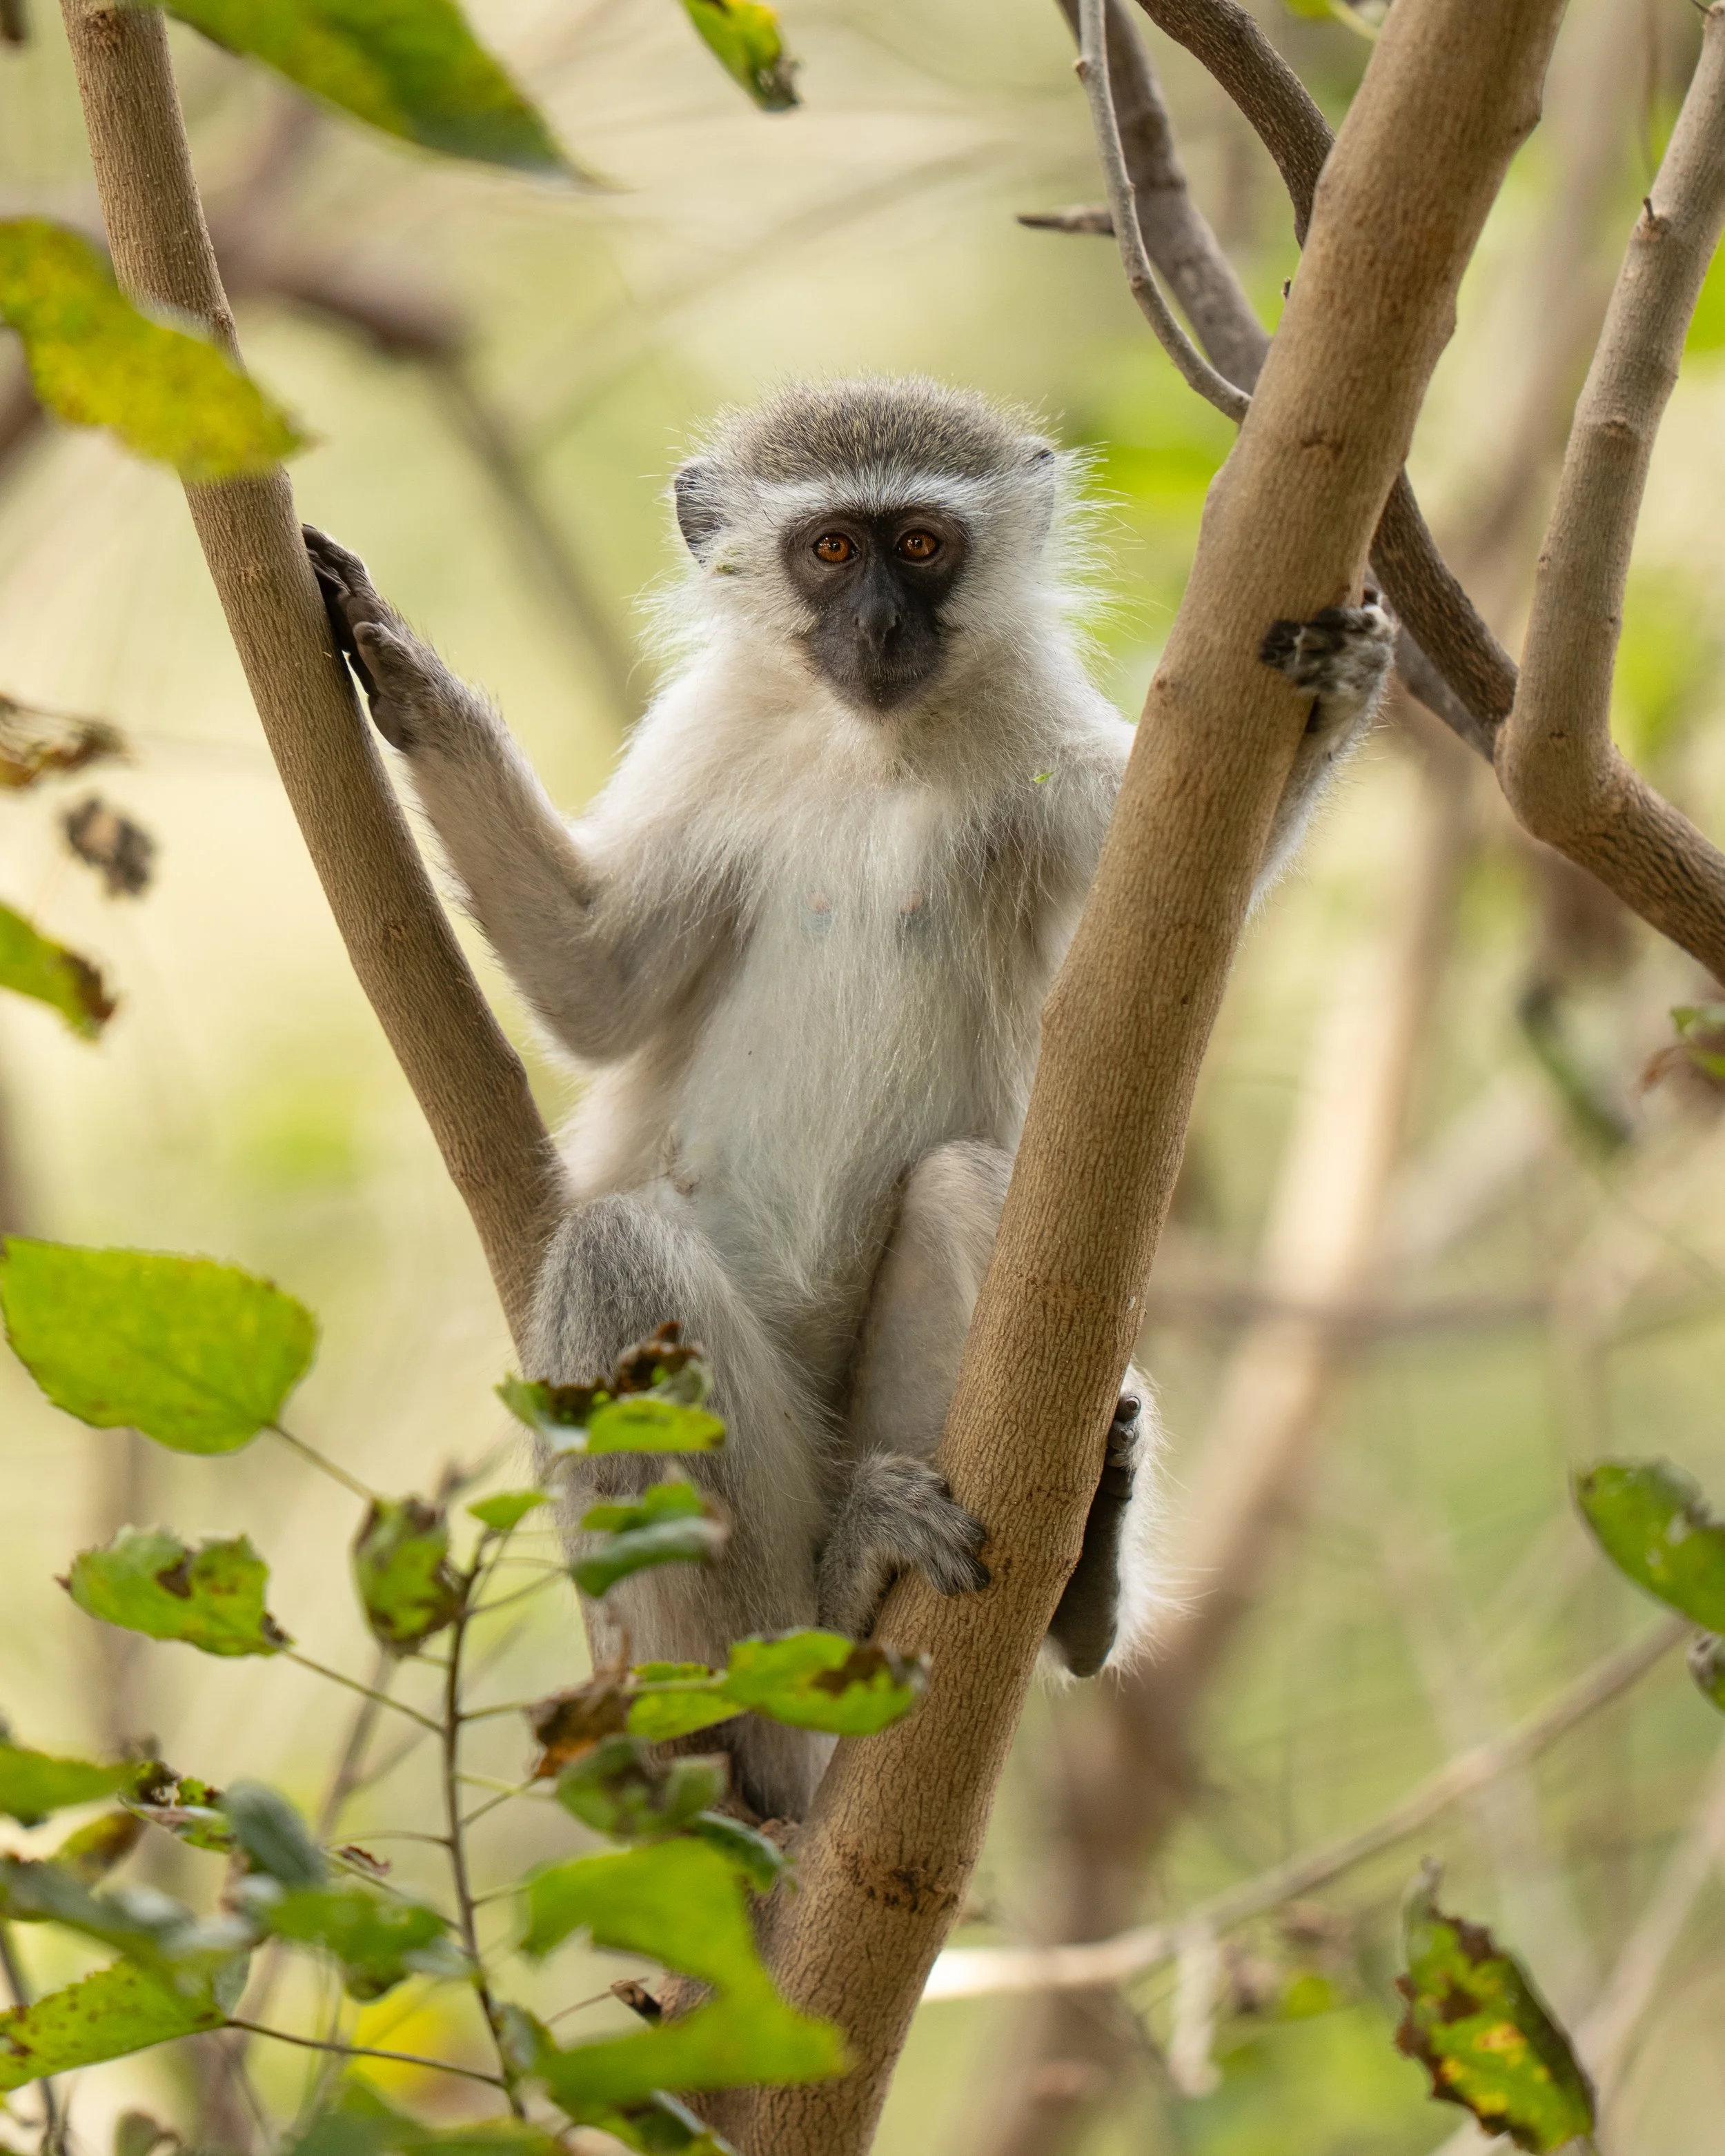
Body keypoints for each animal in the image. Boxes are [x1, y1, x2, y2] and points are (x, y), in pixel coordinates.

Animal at [305, 375, 1393, 1821]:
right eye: (830, 549)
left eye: (921, 546)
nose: (877, 625)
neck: (869, 745)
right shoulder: (707, 734)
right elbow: (593, 985)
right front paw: (400, 669)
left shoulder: (1036, 728)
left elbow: (1177, 893)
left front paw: (1343, 691)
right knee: (619, 1257)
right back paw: (803, 1641)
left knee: (962, 1186)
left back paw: (1063, 1581)